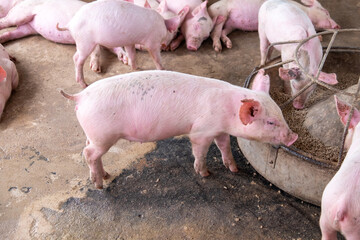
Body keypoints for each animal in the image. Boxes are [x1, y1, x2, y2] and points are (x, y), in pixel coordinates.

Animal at [59, 69, 298, 189]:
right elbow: (200, 151)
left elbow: (225, 147)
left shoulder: (220, 130)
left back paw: (105, 175)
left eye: (280, 114)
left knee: (90, 150)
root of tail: (80, 96)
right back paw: (100, 185)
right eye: (270, 122)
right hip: (103, 136)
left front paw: (234, 169)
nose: (293, 137)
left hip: (94, 134)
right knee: (88, 153)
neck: (228, 111)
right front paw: (205, 173)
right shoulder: (201, 131)